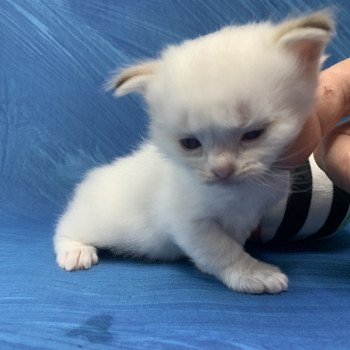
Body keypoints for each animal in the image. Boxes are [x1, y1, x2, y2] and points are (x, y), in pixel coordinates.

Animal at [54, 11, 334, 292]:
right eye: (190, 143)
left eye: (253, 134)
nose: (222, 170)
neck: (241, 192)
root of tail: (94, 178)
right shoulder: (188, 222)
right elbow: (222, 250)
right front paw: (253, 274)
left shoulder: (246, 216)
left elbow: (232, 240)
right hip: (95, 221)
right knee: (64, 226)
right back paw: (75, 251)